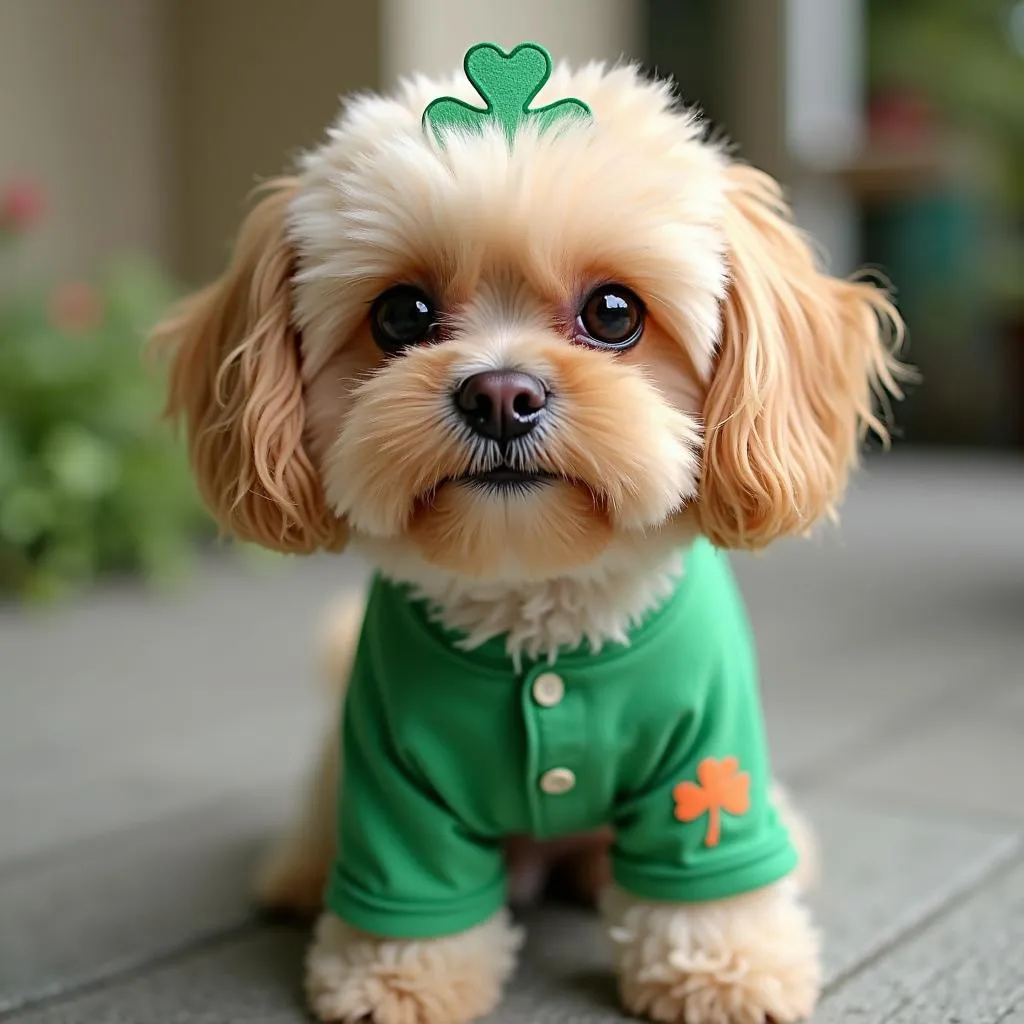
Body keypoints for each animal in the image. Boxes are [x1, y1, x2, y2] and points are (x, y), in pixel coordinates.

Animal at [151, 44, 905, 1024]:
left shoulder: (710, 761)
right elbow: (410, 896)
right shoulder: (390, 785)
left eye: (614, 312)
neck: (538, 620)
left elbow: (706, 880)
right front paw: (396, 977)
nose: (501, 394)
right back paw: (300, 874)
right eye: (402, 315)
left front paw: (721, 967)